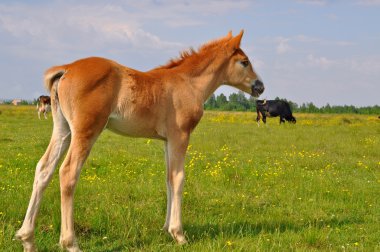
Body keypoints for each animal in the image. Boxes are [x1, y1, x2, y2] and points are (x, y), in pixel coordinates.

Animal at [14, 30, 264, 251]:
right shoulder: (180, 136)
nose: (260, 86)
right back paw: (70, 243)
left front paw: (165, 229)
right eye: (244, 62)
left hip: (62, 129)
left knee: (44, 169)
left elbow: (168, 179)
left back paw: (27, 238)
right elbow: (179, 178)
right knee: (67, 173)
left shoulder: (167, 140)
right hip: (86, 130)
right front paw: (179, 234)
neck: (188, 83)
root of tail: (66, 69)